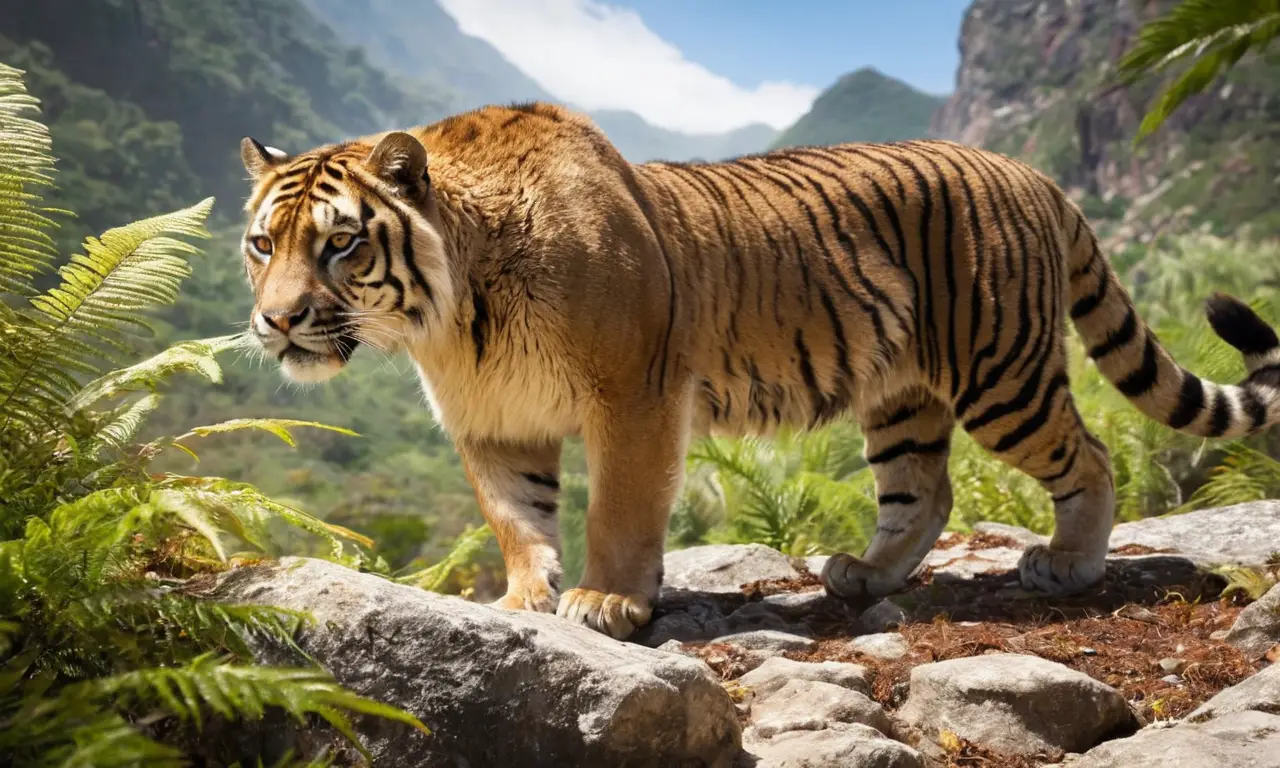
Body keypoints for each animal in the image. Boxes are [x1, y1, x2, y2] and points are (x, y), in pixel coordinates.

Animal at [237, 101, 1280, 640]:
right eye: (261, 242)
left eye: (339, 245)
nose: (276, 321)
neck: (454, 321)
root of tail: (1034, 174)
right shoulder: (496, 423)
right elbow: (515, 520)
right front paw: (524, 598)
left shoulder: (634, 395)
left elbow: (618, 509)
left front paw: (606, 600)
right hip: (901, 394)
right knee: (925, 491)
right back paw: (862, 576)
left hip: (1002, 373)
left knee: (1089, 456)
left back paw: (1068, 565)